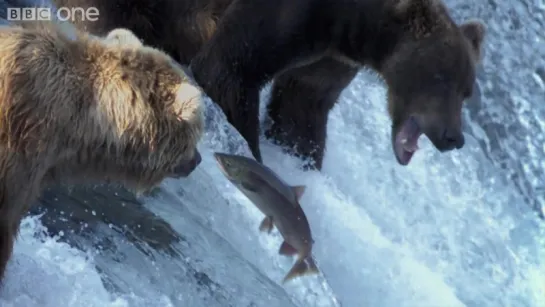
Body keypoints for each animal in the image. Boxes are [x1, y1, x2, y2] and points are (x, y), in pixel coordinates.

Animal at [52, 0, 484, 170]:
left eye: (466, 90)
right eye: (440, 77)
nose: (454, 136)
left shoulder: (330, 56)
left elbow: (302, 110)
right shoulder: (292, 13)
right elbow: (229, 68)